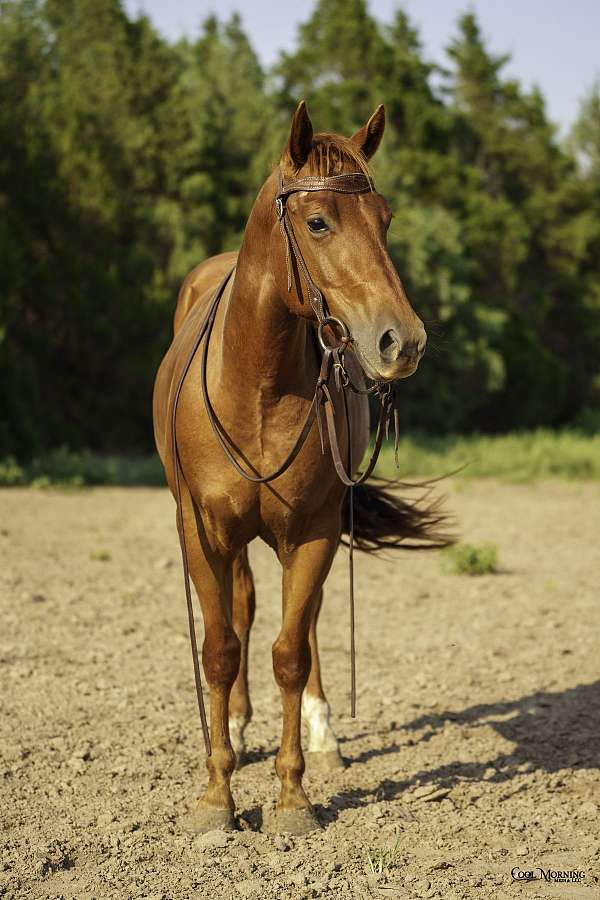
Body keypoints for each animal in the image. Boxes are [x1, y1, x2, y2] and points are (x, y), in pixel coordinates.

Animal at [153, 100, 447, 834]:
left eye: (386, 219)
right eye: (318, 222)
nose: (403, 341)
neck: (257, 385)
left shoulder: (313, 529)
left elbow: (291, 651)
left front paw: (291, 796)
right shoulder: (202, 531)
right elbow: (220, 647)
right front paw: (217, 796)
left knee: (302, 627)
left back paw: (322, 734)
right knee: (243, 612)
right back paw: (236, 723)